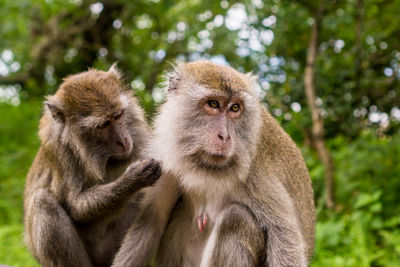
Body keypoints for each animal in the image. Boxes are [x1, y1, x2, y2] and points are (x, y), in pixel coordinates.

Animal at [22, 65, 161, 267]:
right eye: (103, 125)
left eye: (118, 116)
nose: (123, 140)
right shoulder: (59, 149)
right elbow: (77, 206)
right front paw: (134, 179)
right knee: (42, 201)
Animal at [112, 60, 316, 267]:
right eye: (213, 104)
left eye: (235, 108)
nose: (224, 136)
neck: (206, 167)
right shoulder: (166, 158)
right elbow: (152, 221)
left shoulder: (255, 171)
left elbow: (284, 238)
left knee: (236, 217)